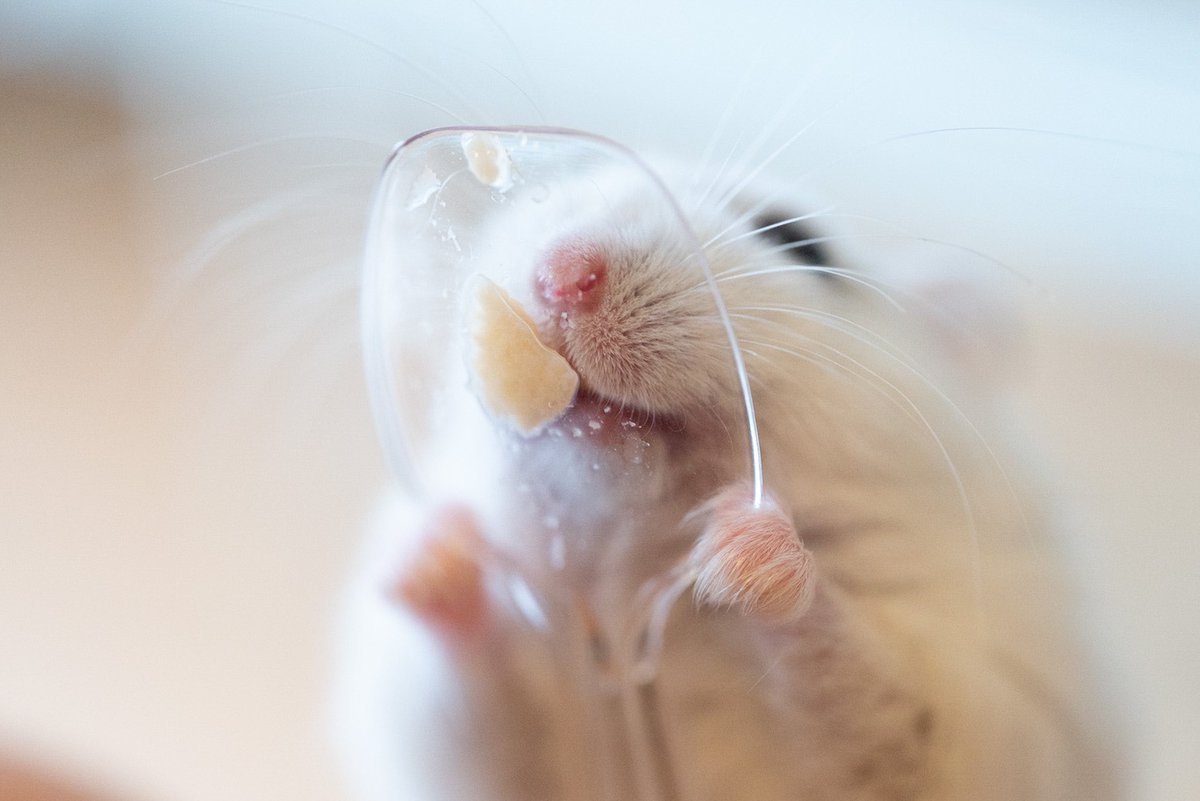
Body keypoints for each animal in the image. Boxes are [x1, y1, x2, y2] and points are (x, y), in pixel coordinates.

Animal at [331, 154, 1124, 801]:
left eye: (801, 242)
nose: (562, 276)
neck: (627, 598)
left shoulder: (974, 716)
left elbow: (866, 693)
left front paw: (743, 548)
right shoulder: (454, 727)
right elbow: (470, 717)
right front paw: (434, 552)